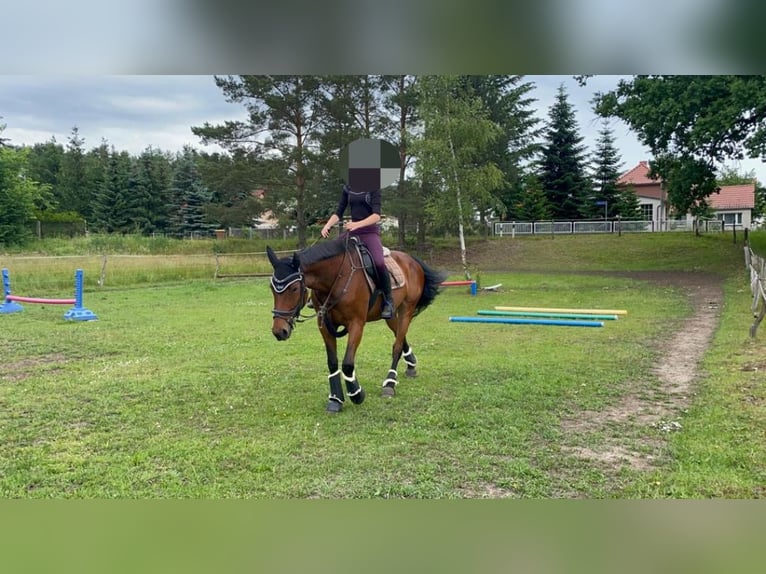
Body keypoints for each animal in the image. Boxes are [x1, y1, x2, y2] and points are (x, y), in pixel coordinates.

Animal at [268, 236, 450, 416]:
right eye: (272, 288)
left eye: (294, 288)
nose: (279, 331)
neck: (336, 278)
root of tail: (411, 260)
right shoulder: (324, 326)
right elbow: (332, 362)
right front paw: (335, 399)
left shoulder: (356, 324)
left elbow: (348, 363)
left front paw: (356, 394)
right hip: (390, 316)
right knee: (400, 336)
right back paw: (411, 364)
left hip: (406, 310)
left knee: (397, 345)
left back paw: (390, 383)